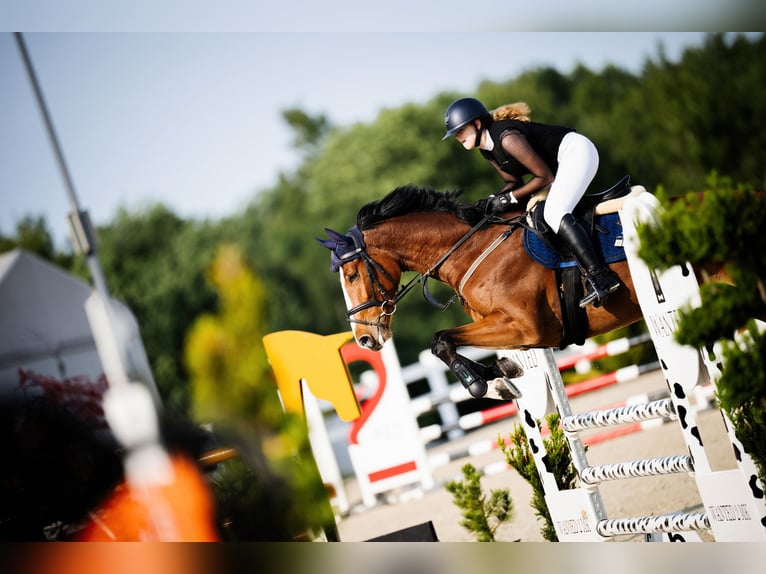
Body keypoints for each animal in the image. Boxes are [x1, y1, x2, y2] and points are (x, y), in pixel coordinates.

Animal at [319, 184, 646, 401]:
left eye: (351, 275)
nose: (363, 338)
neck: (469, 249)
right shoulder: (505, 328)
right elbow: (459, 347)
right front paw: (502, 374)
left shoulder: (526, 327)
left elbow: (441, 341)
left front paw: (485, 385)